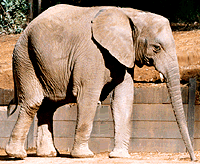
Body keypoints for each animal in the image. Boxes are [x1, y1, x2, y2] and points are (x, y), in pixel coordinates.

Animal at [5, 4, 196, 161]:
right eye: (157, 48)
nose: (192, 158)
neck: (130, 14)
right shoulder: (92, 51)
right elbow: (88, 95)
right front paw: (84, 156)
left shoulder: (124, 54)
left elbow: (123, 99)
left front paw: (120, 156)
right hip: (25, 57)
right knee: (34, 101)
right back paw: (17, 155)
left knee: (49, 105)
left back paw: (49, 154)